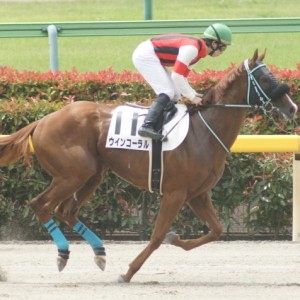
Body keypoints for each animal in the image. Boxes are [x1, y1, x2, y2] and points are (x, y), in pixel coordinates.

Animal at [0, 48, 296, 282]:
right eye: (265, 78)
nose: (292, 108)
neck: (204, 130)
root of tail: (42, 120)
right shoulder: (175, 193)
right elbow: (156, 236)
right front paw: (128, 272)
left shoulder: (198, 193)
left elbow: (216, 230)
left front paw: (176, 240)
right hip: (72, 175)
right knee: (40, 205)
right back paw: (63, 253)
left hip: (93, 173)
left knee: (66, 210)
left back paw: (99, 252)